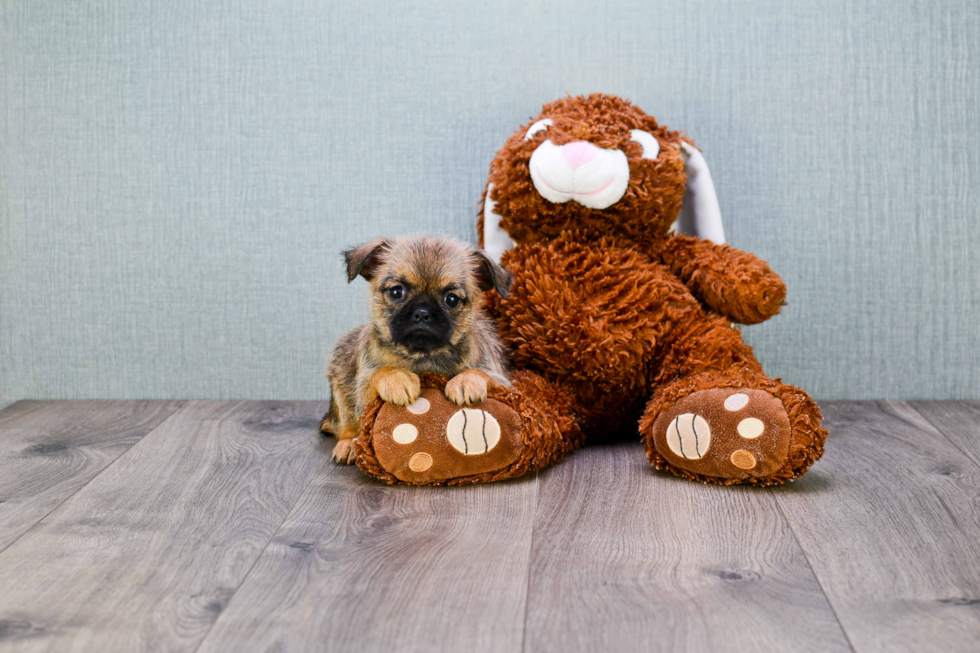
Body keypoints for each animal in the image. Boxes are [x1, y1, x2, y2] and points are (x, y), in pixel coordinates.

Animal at [322, 234, 512, 464]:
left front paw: (466, 381)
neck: (423, 355)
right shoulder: (364, 392)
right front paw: (396, 379)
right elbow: (380, 372)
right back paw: (349, 443)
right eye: (396, 292)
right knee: (346, 425)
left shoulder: (504, 383)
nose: (422, 313)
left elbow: (480, 372)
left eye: (452, 299)